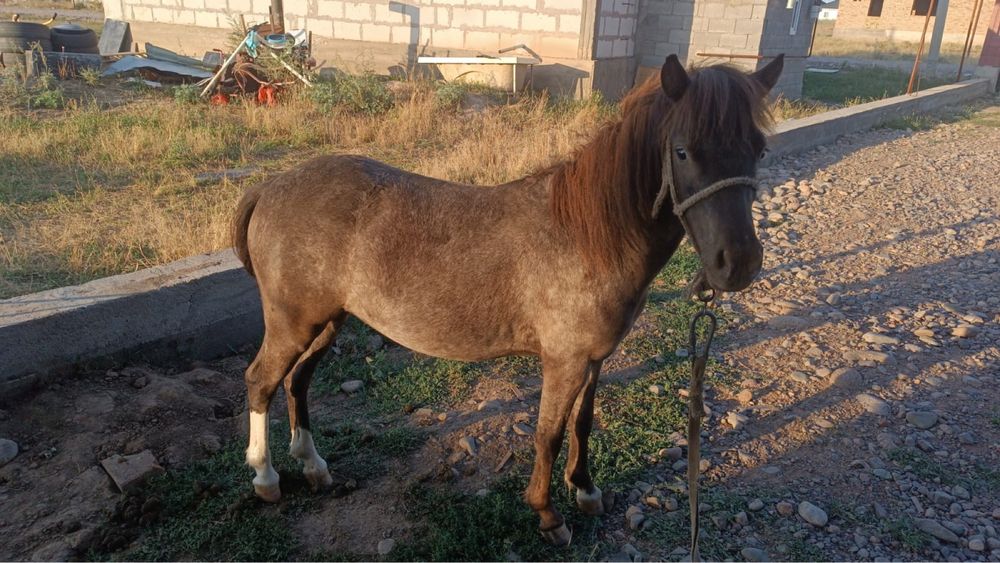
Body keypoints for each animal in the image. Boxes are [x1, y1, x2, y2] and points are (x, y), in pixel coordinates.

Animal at [232, 53, 783, 545]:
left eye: (759, 149)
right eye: (684, 151)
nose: (738, 263)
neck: (588, 235)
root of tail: (270, 187)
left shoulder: (595, 358)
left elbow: (583, 422)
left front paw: (585, 491)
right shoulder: (563, 360)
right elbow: (548, 433)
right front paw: (548, 515)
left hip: (327, 321)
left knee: (297, 383)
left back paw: (314, 467)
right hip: (292, 323)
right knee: (262, 382)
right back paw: (266, 478)